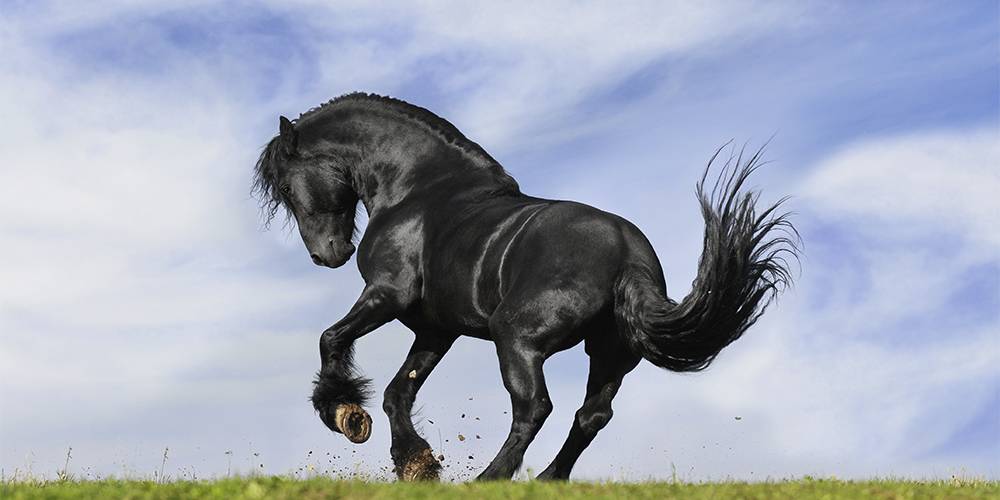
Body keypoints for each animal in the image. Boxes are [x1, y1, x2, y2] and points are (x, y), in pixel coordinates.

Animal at [254, 93, 800, 480]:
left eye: (287, 186)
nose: (327, 255)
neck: (417, 190)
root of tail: (628, 254)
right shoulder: (435, 331)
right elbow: (397, 392)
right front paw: (417, 463)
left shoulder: (387, 296)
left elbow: (332, 339)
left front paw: (345, 413)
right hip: (609, 354)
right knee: (591, 415)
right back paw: (548, 480)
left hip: (516, 339)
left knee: (535, 407)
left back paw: (491, 479)